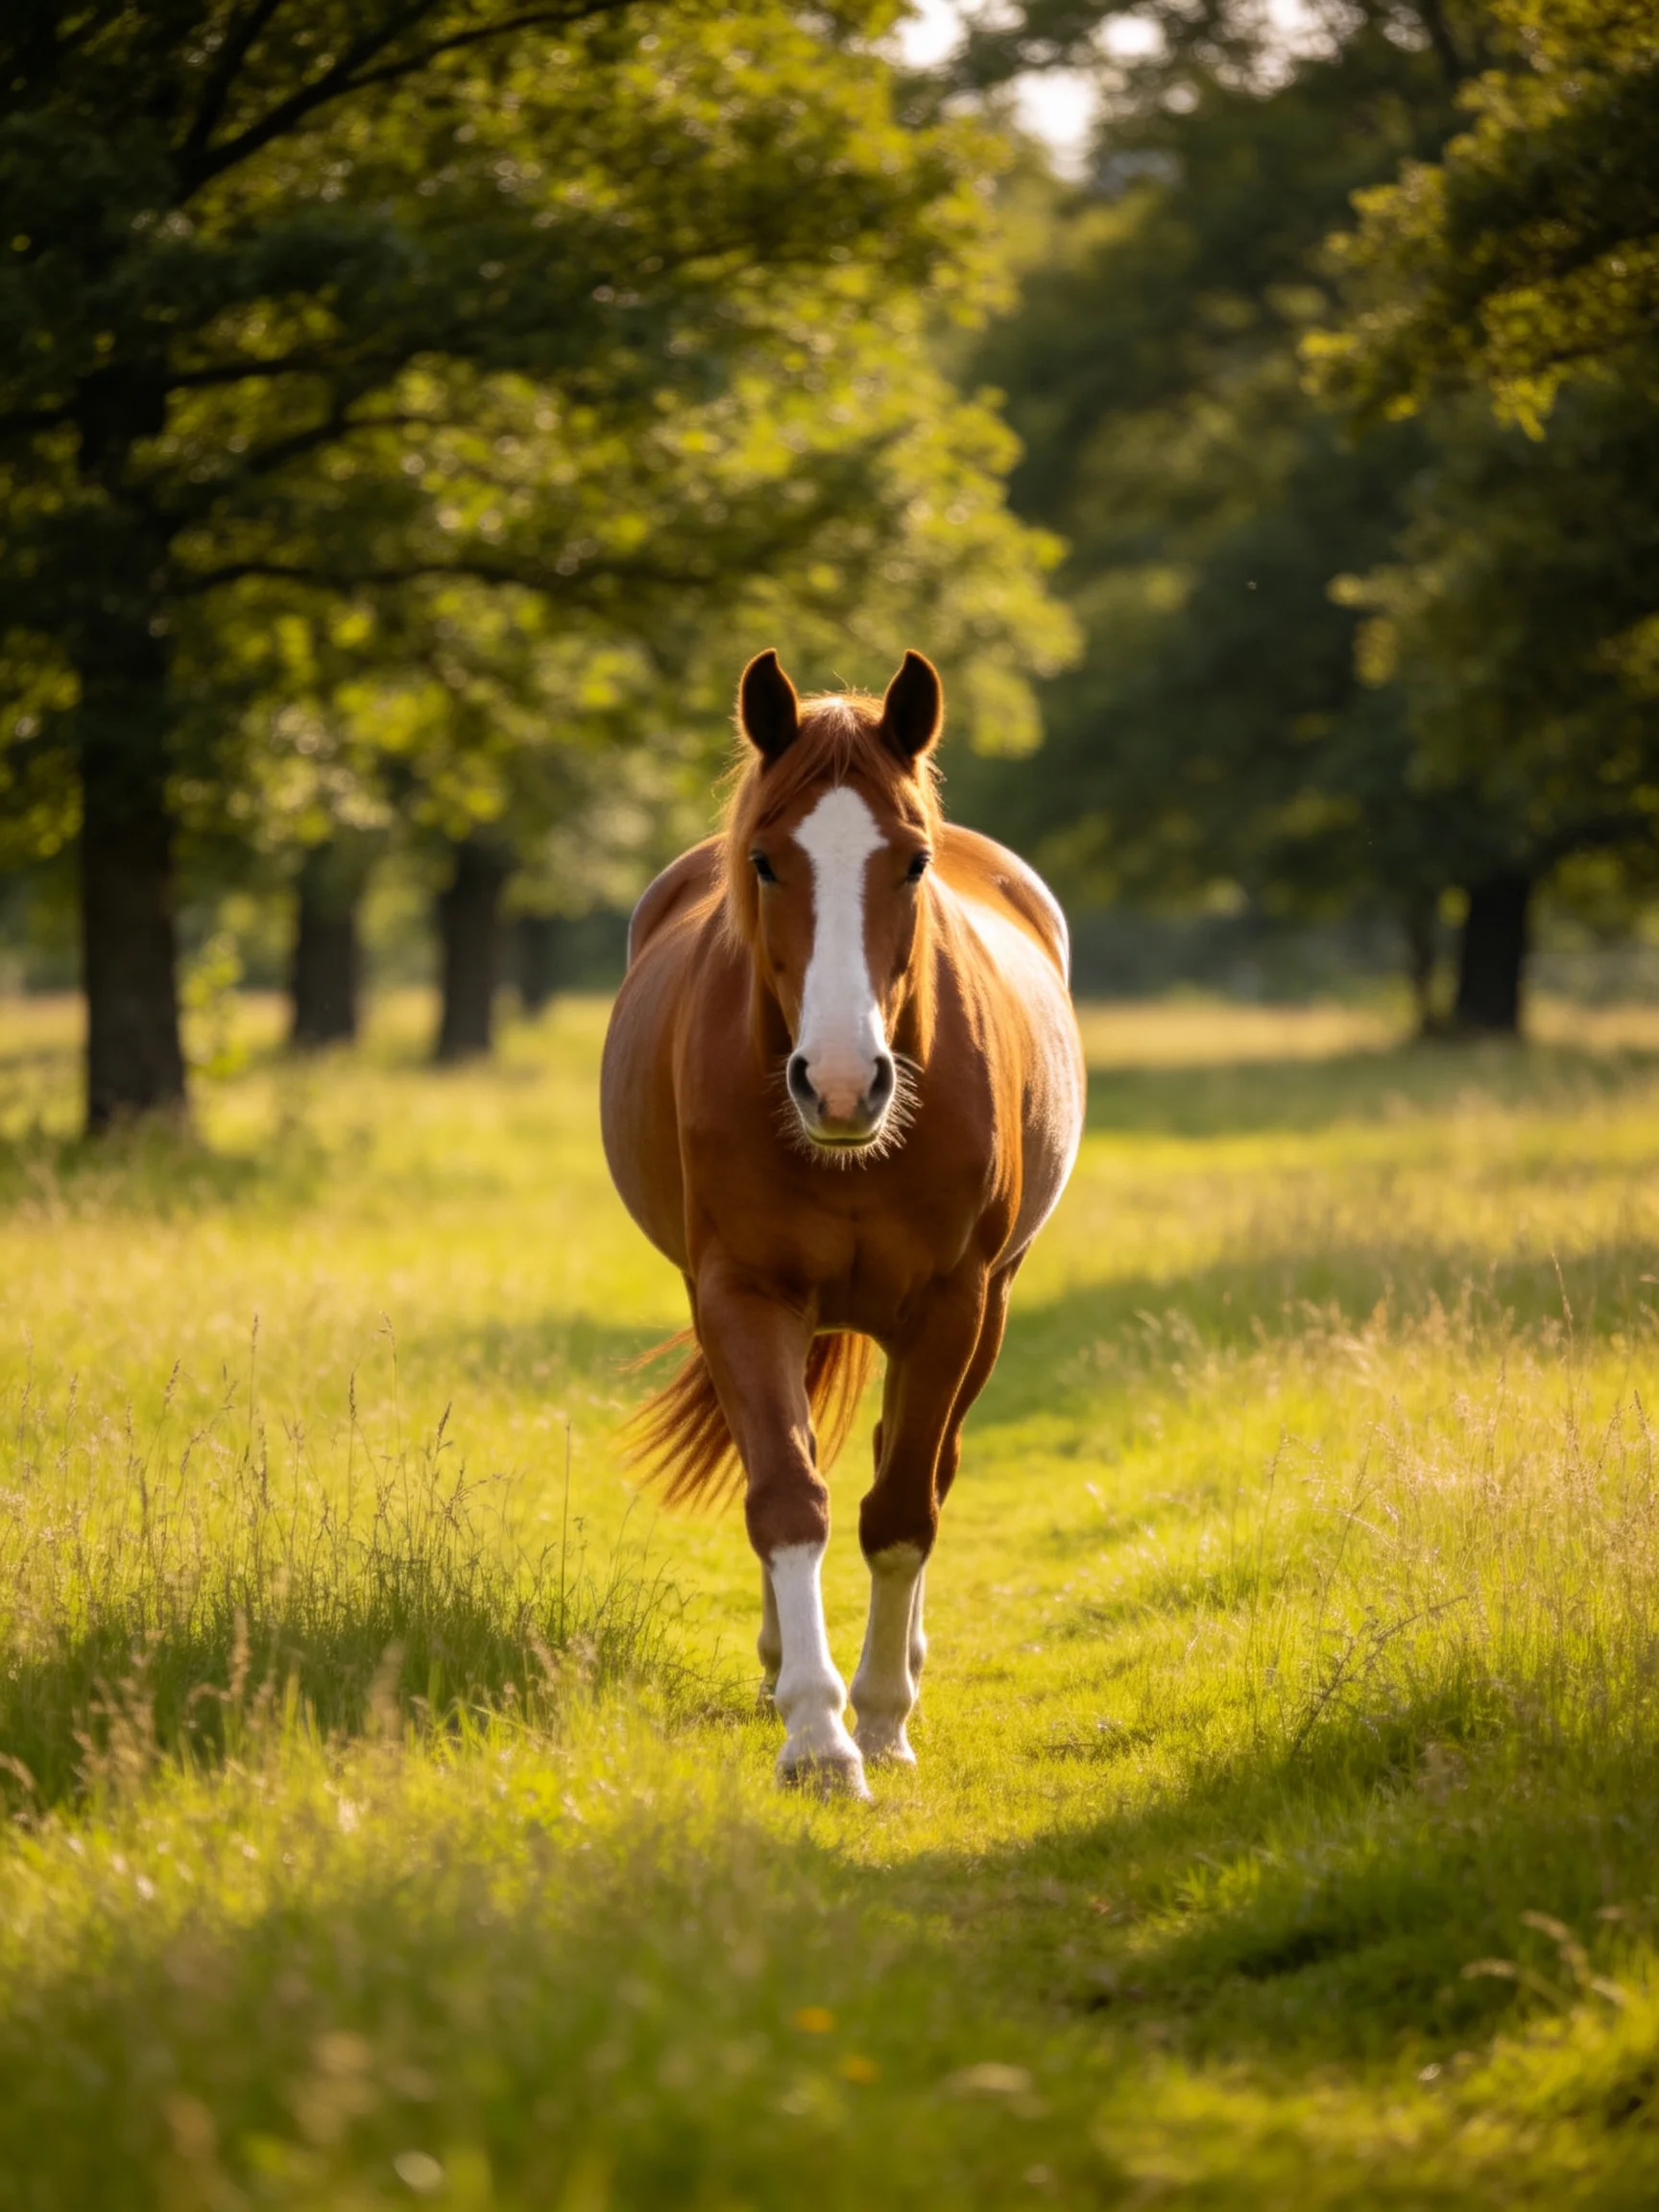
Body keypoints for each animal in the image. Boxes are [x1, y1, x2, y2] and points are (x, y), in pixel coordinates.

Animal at [600, 648, 1085, 1798]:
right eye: (766, 862)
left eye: (911, 863)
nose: (837, 1083)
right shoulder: (743, 1295)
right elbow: (787, 1494)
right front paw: (817, 1734)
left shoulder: (954, 1305)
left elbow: (903, 1509)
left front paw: (881, 1718)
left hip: (989, 1310)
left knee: (921, 1467)